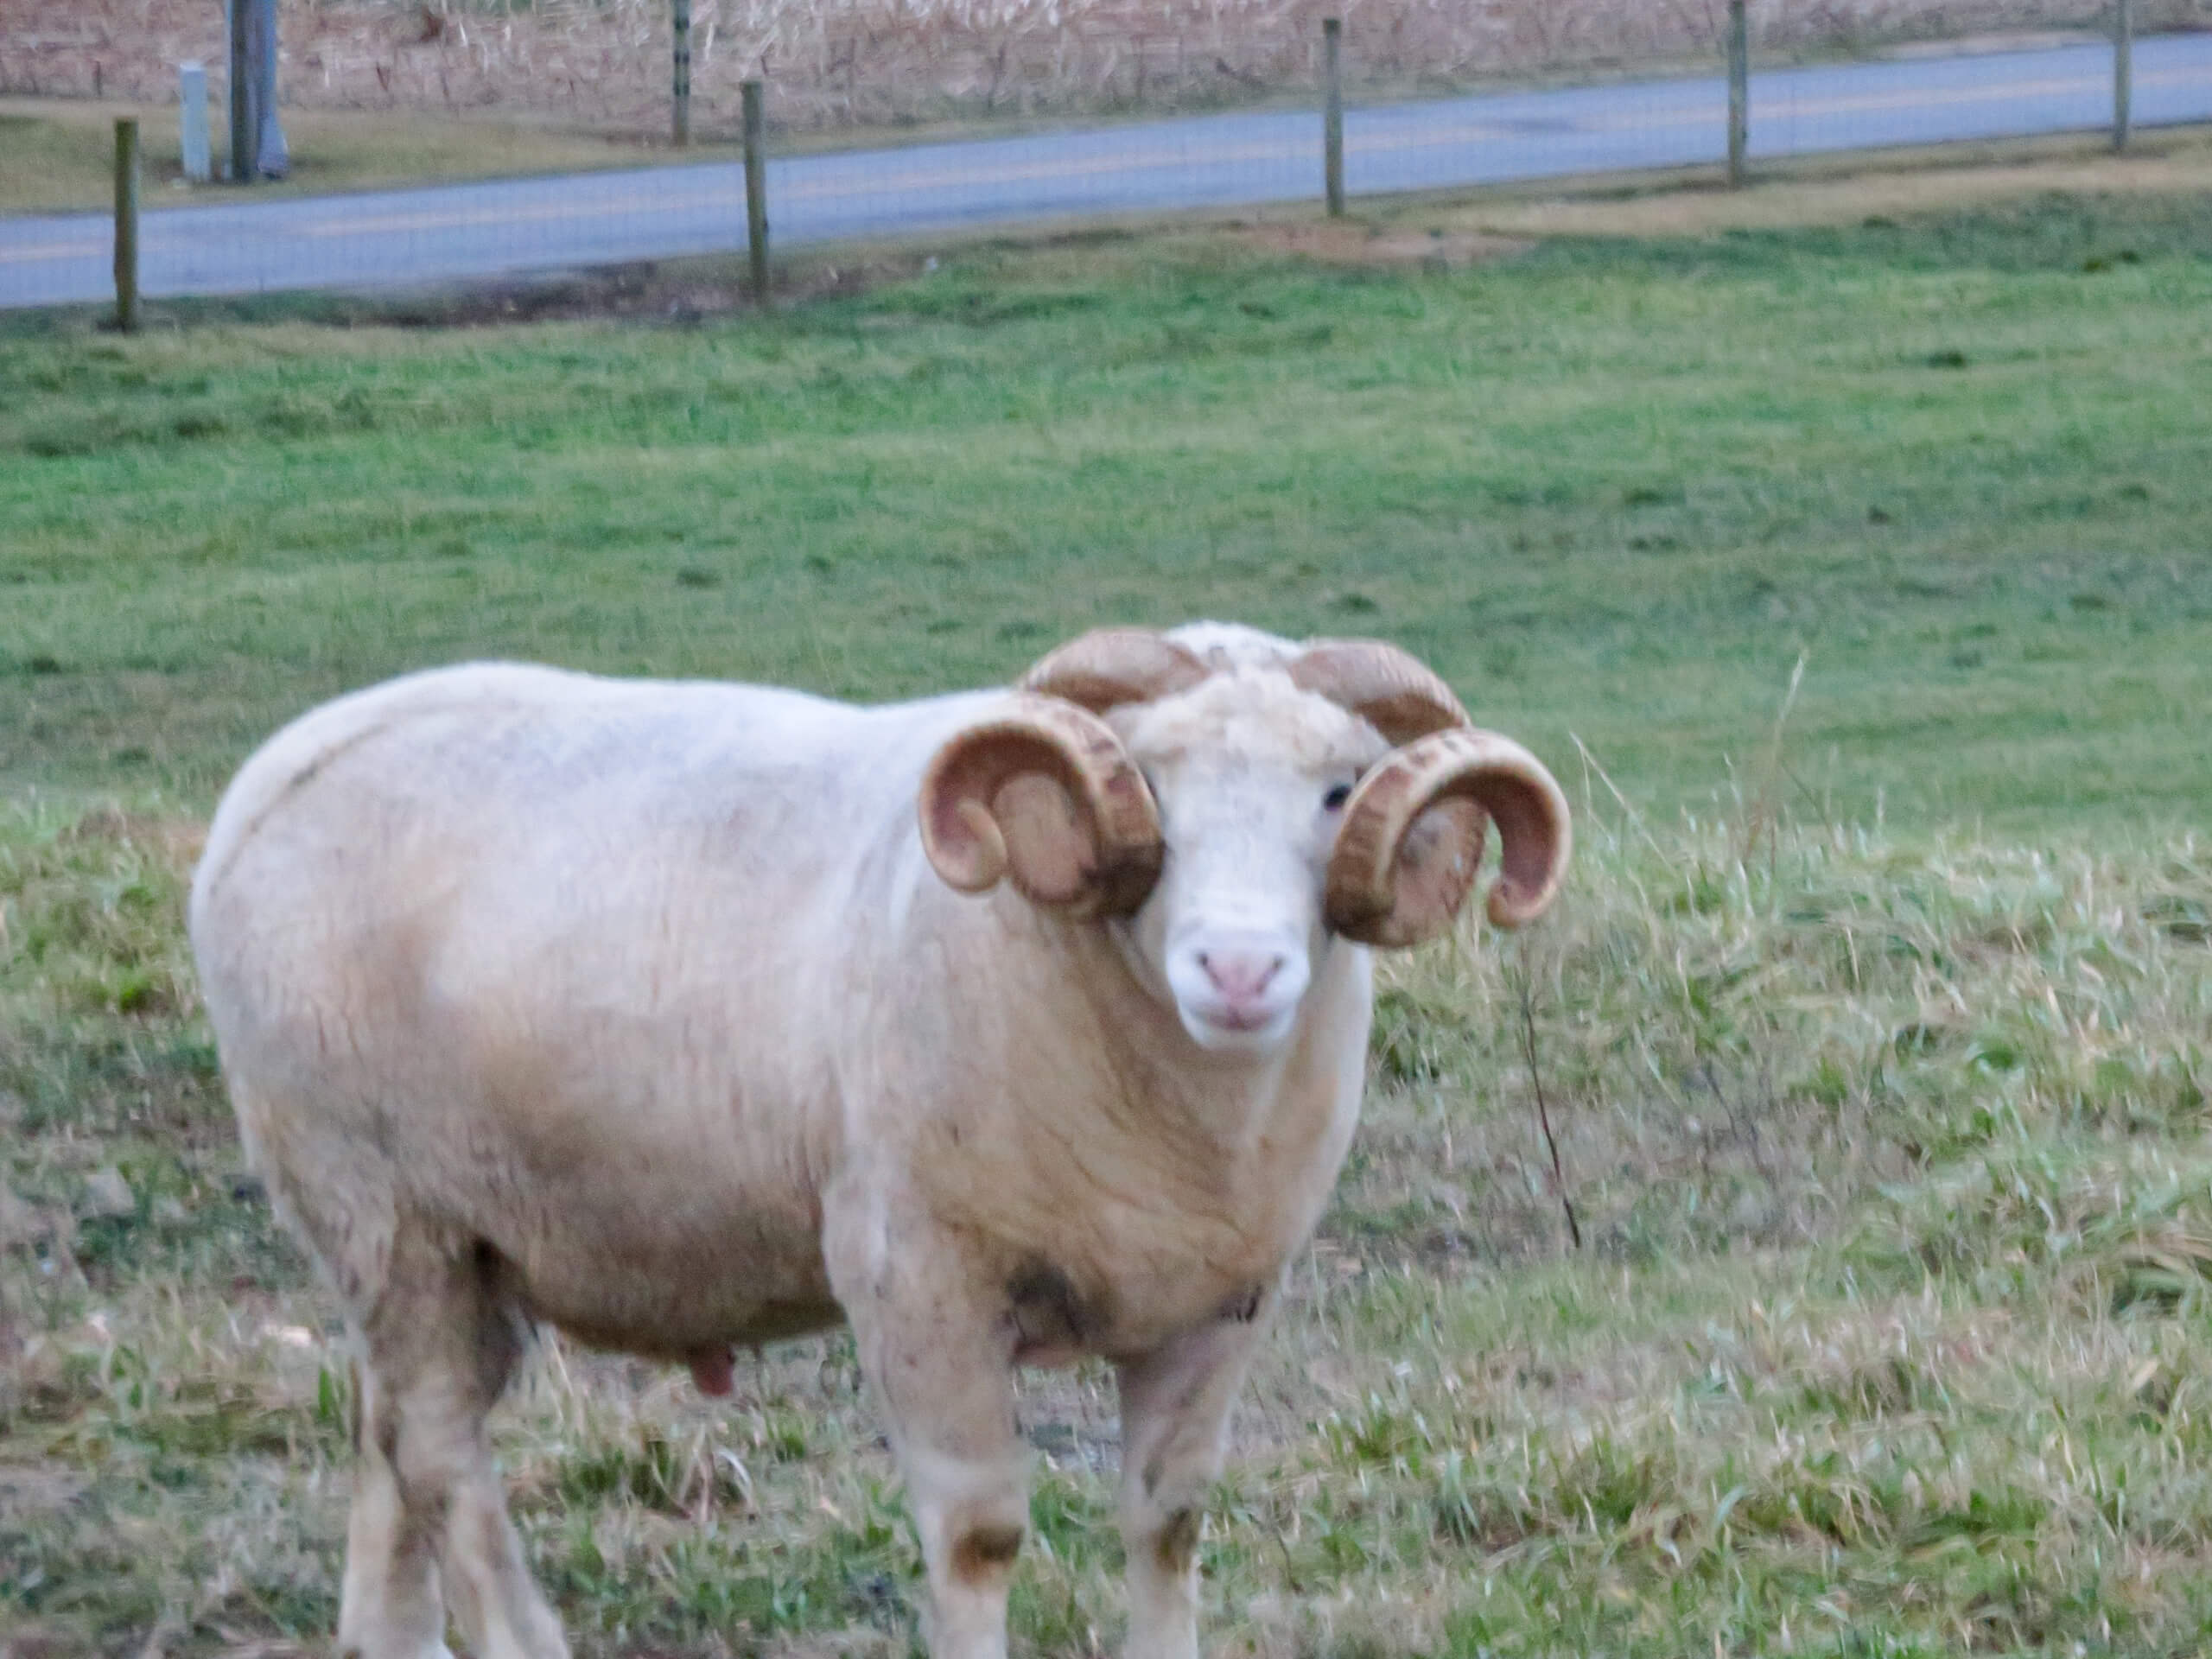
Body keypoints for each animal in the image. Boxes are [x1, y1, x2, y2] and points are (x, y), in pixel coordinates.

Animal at [187, 622, 1569, 1659]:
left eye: (1338, 791)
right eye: (1150, 786)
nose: (1239, 970)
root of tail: (271, 773)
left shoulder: (1221, 1304)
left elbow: (1168, 1522)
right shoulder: (919, 1279)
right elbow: (980, 1534)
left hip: (448, 1244)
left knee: (388, 1436)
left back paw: (393, 1641)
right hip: (380, 1202)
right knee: (442, 1457)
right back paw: (525, 1641)